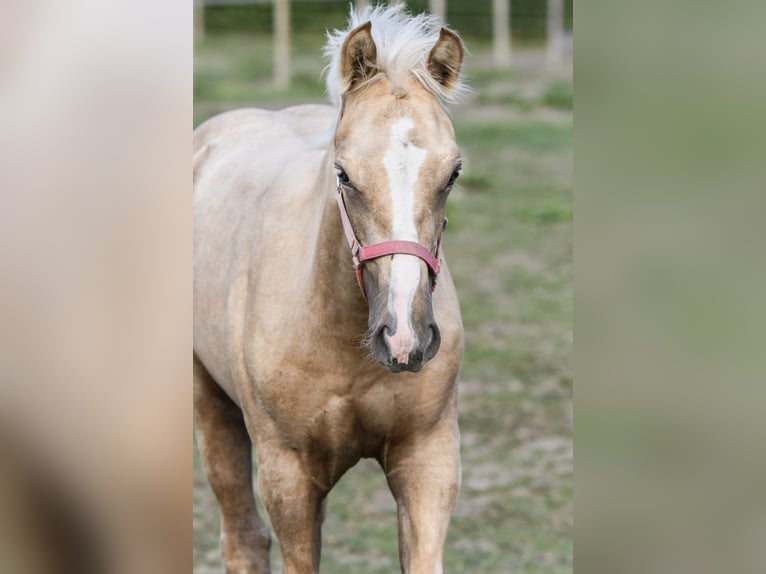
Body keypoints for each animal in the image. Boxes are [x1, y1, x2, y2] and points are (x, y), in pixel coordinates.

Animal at [195, 6, 464, 572]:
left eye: (453, 173)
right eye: (343, 174)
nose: (403, 336)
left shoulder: (428, 458)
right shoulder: (287, 475)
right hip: (208, 400)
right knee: (242, 538)